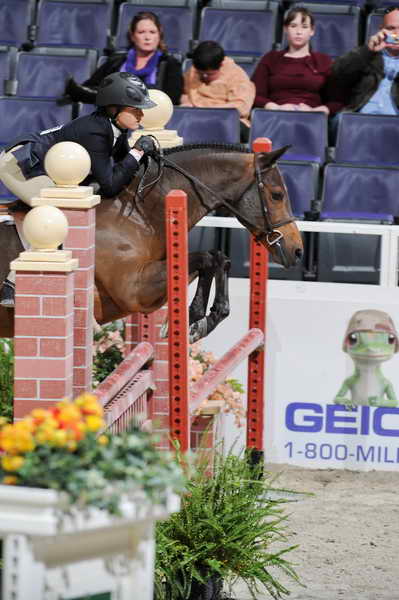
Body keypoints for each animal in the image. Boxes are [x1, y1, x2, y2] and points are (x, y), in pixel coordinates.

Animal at [0, 142, 304, 342]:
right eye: (277, 195)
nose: (297, 250)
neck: (141, 212)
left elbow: (216, 258)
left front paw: (203, 319)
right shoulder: (134, 288)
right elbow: (209, 257)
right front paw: (195, 318)